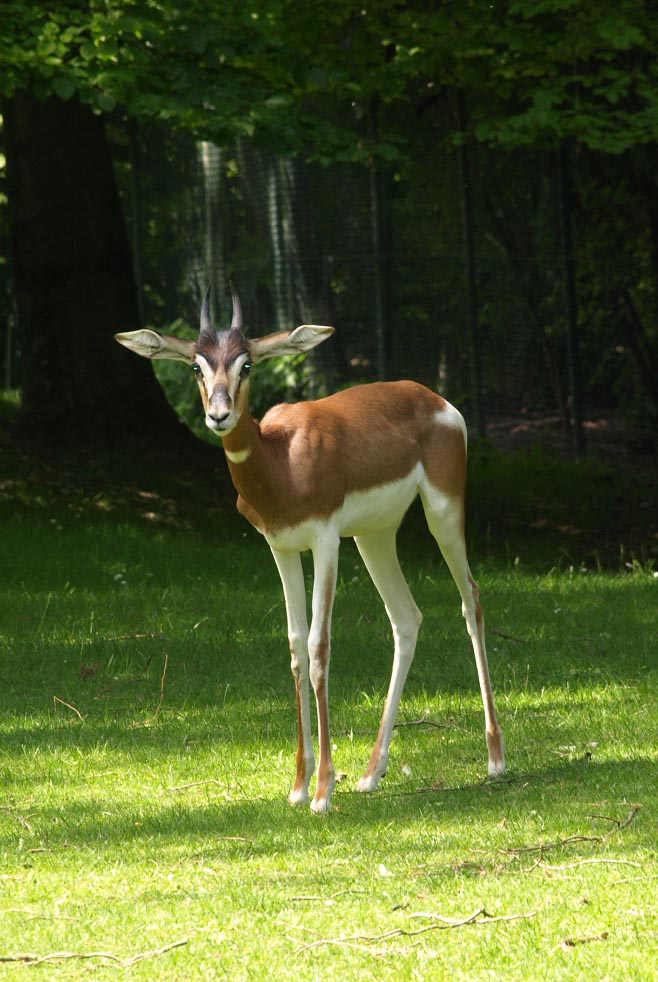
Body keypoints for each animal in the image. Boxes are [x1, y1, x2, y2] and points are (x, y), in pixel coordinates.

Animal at [115, 289, 505, 813]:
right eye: (197, 366)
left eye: (246, 364)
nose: (218, 415)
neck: (281, 461)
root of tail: (434, 398)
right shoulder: (280, 547)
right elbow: (297, 647)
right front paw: (299, 785)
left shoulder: (324, 540)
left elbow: (320, 645)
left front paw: (322, 788)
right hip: (374, 536)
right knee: (406, 618)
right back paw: (371, 773)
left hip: (442, 512)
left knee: (471, 601)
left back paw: (495, 758)